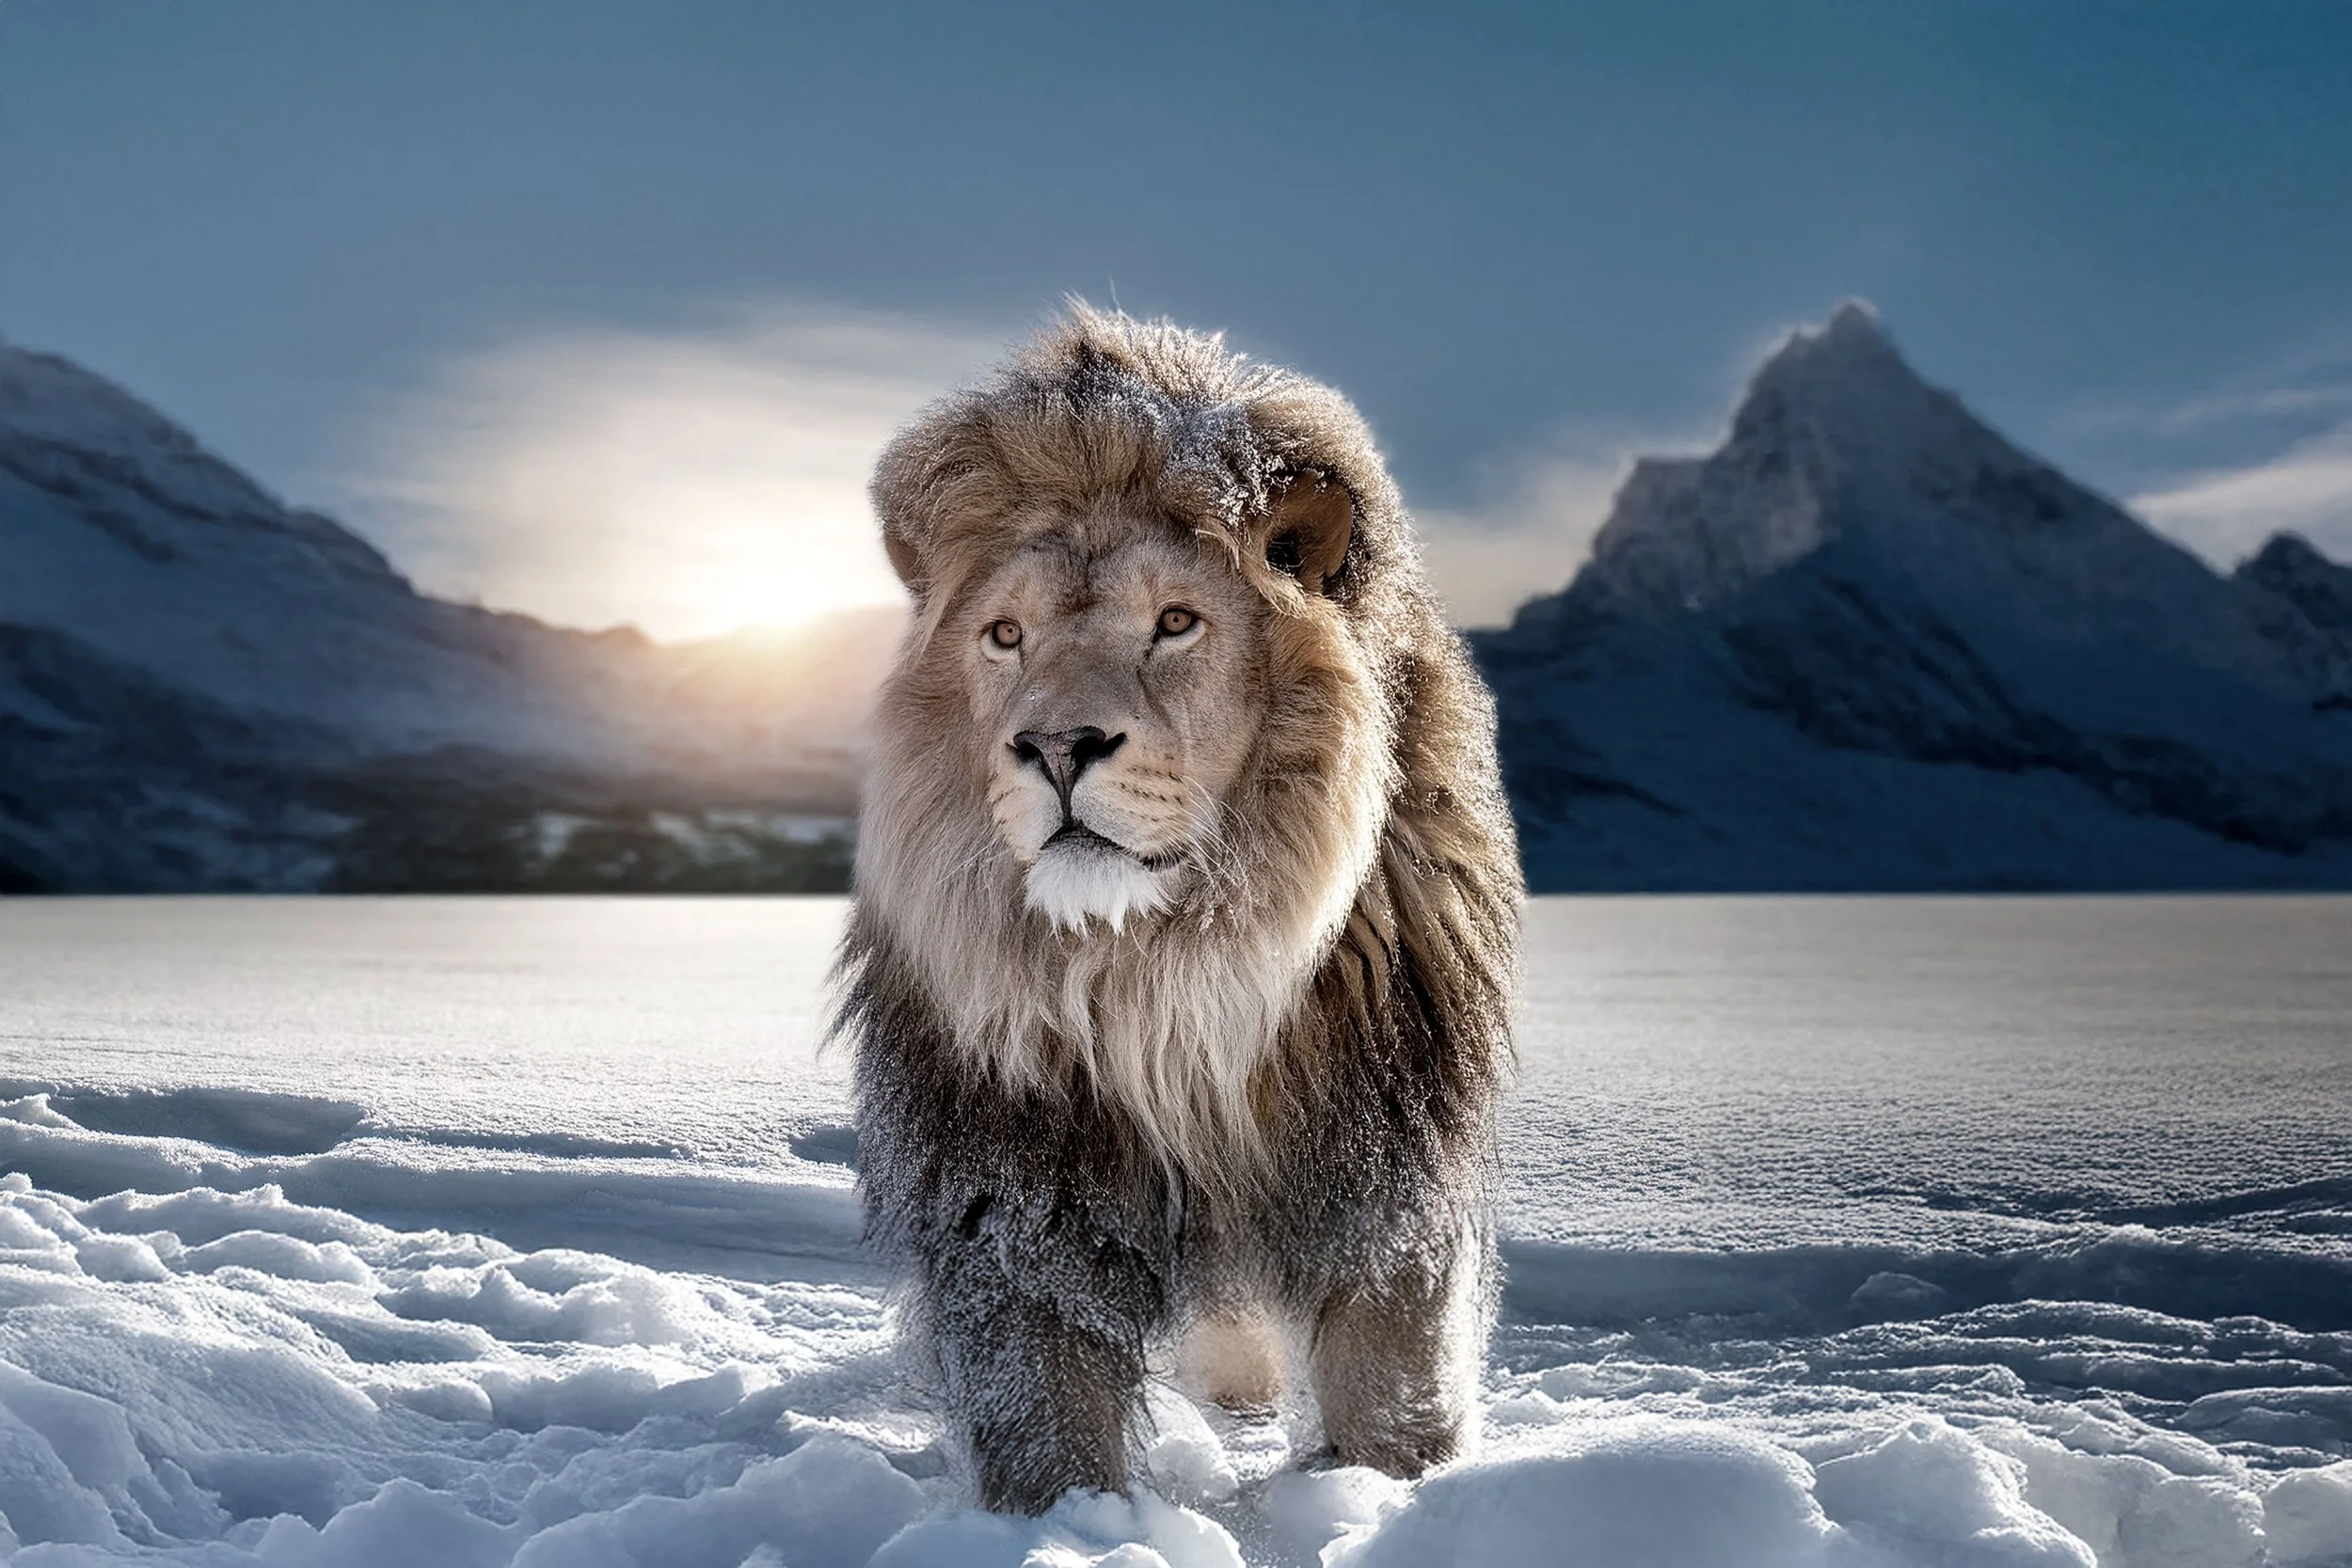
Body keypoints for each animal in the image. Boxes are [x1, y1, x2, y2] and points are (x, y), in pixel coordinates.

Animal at [832, 306, 1520, 1515]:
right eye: (1003, 635)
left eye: (1177, 621)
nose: (1057, 745)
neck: (1154, 967)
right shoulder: (1017, 1176)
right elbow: (1040, 1388)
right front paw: (1069, 1521)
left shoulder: (1380, 1139)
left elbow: (1391, 1364)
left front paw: (1389, 1496)